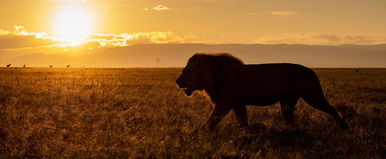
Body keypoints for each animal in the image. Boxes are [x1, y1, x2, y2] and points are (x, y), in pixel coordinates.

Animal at [176, 53, 348, 130]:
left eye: (187, 71)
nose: (177, 81)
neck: (214, 76)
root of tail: (312, 71)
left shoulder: (224, 104)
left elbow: (212, 120)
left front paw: (199, 132)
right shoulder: (237, 104)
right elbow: (243, 121)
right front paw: (246, 134)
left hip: (312, 95)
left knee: (332, 108)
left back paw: (343, 126)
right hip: (287, 101)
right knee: (289, 118)